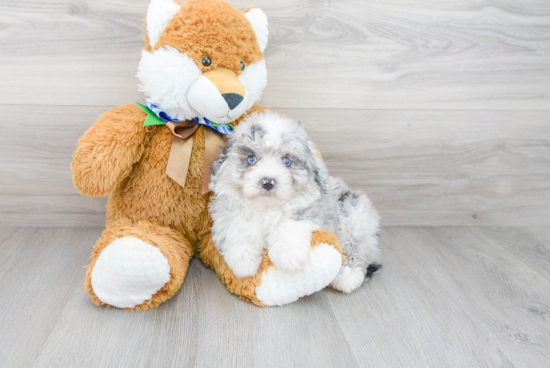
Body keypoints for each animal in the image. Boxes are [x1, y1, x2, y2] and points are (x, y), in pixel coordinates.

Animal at [211, 112, 384, 294]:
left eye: (287, 161)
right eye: (251, 159)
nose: (268, 182)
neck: (266, 207)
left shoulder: (310, 211)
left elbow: (290, 225)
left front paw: (287, 255)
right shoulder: (227, 215)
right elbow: (238, 230)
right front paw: (243, 263)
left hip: (353, 219)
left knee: (357, 249)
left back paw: (347, 276)